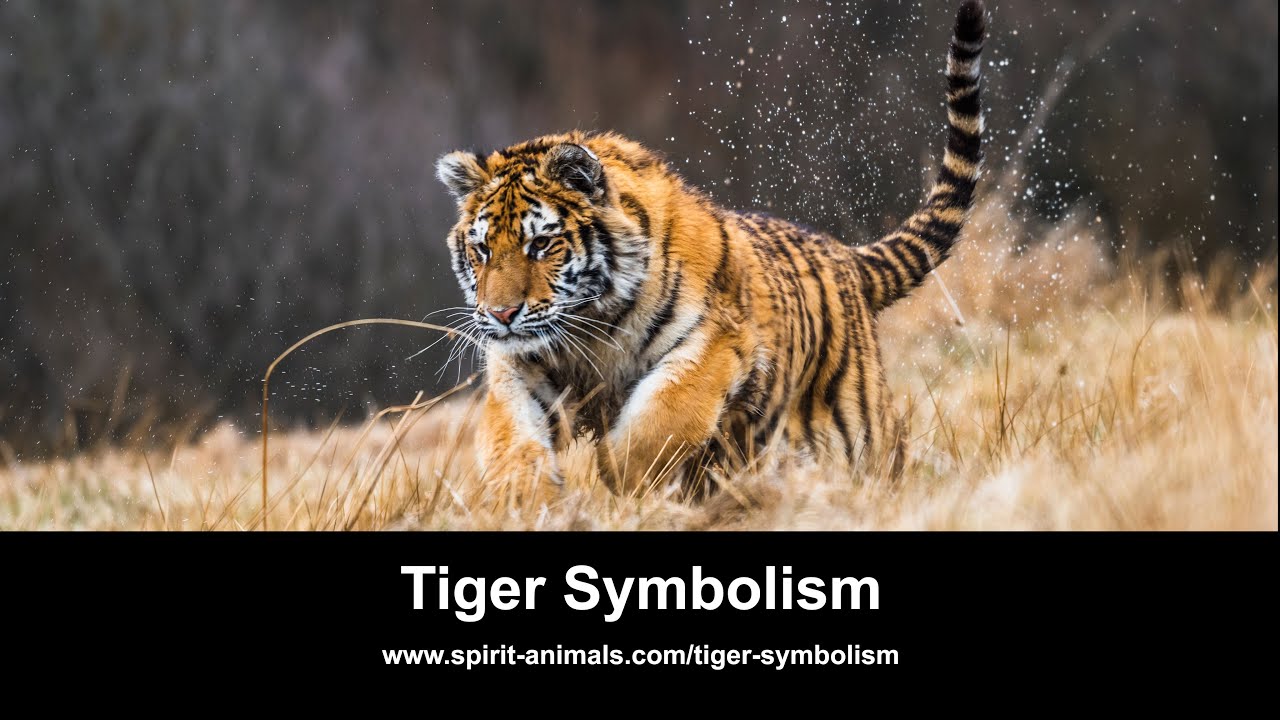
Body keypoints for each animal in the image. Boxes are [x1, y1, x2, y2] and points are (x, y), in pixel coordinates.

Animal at [434, 1, 986, 501]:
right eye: (482, 250)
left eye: (541, 244)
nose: (501, 314)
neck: (592, 328)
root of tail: (845, 256)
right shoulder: (519, 365)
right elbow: (510, 436)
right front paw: (524, 499)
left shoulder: (715, 343)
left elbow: (663, 419)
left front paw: (620, 479)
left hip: (859, 428)